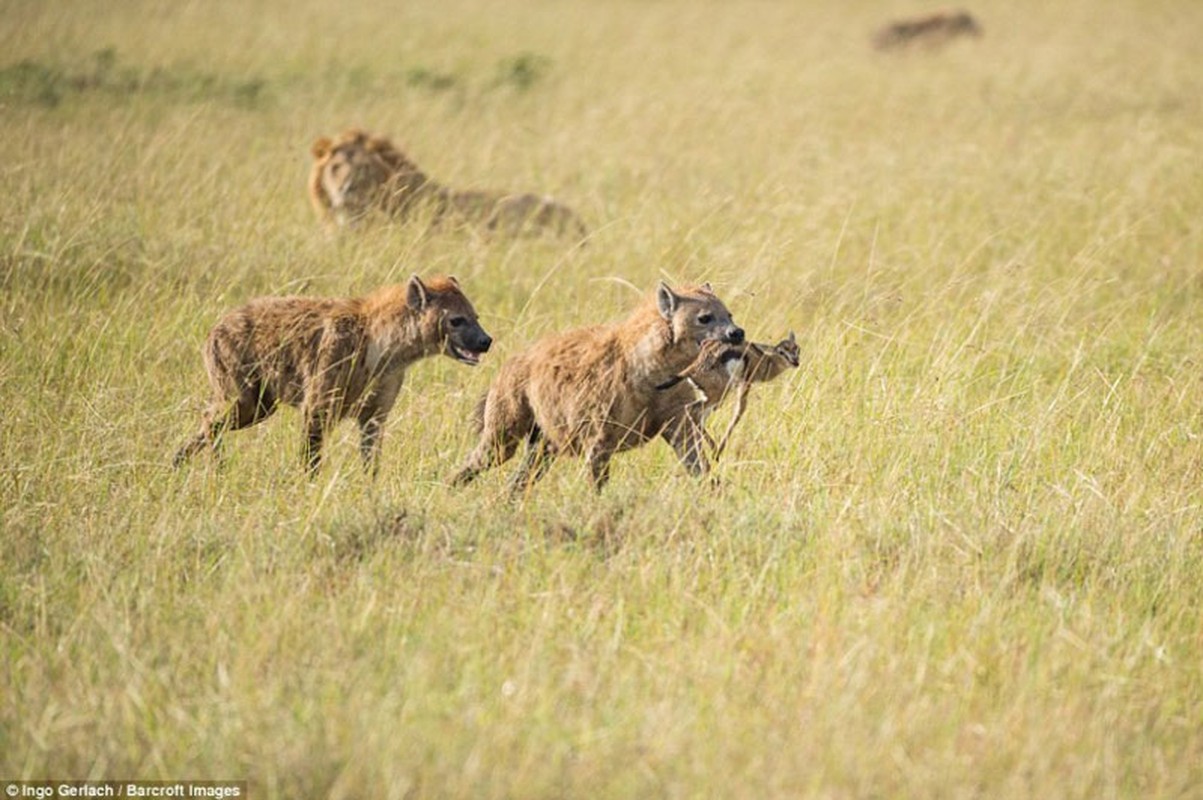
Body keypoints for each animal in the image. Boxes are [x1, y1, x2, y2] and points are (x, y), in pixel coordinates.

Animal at [172, 274, 490, 473]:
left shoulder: (375, 413)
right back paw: (210, 465)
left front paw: (370, 491)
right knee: (211, 417)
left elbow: (371, 459)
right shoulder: (318, 404)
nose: (487, 341)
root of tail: (214, 329)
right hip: (246, 395)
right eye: (456, 321)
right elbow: (310, 458)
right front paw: (307, 488)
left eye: (476, 317)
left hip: (261, 404)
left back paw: (182, 462)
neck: (384, 351)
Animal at [452, 280, 741, 493]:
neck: (656, 371)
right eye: (705, 318)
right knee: (487, 454)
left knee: (524, 475)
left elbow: (697, 462)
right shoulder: (598, 432)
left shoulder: (679, 420)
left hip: (544, 441)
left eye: (729, 314)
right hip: (508, 420)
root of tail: (511, 362)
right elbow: (597, 481)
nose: (737, 332)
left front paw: (714, 495)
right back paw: (451, 490)